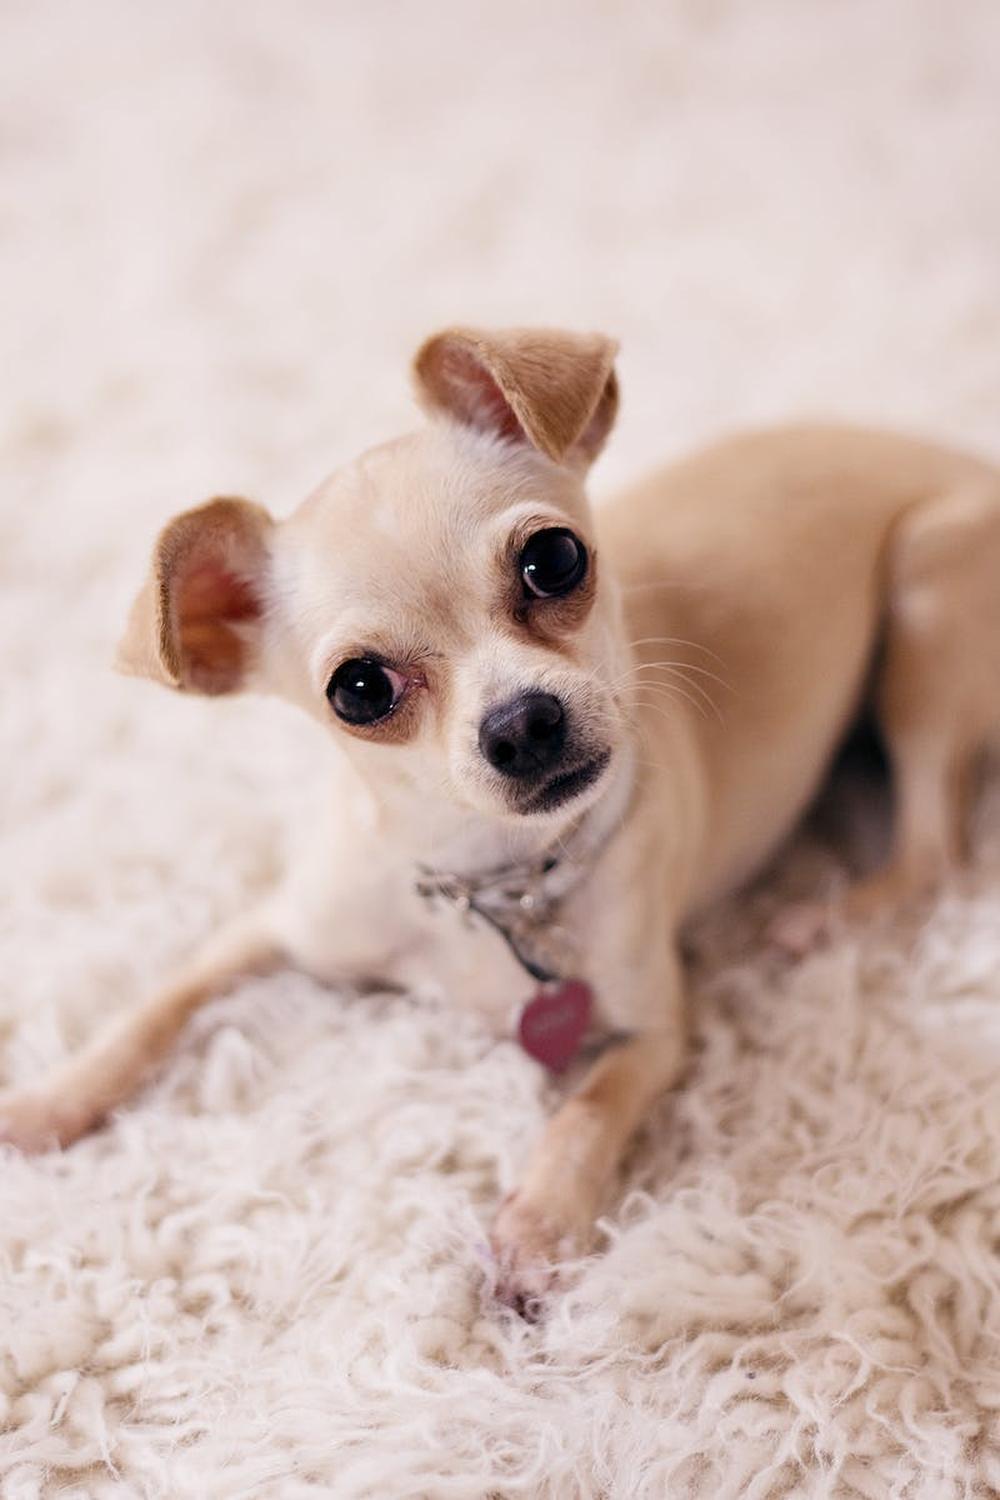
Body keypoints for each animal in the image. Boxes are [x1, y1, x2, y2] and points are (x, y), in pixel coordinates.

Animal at [1, 325, 1000, 1302]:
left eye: (553, 559)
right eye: (358, 691)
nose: (521, 722)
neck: (491, 880)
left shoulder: (651, 1034)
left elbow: (586, 1113)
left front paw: (537, 1226)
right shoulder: (275, 929)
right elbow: (152, 1007)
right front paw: (50, 1102)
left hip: (924, 610)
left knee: (933, 848)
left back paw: (828, 918)